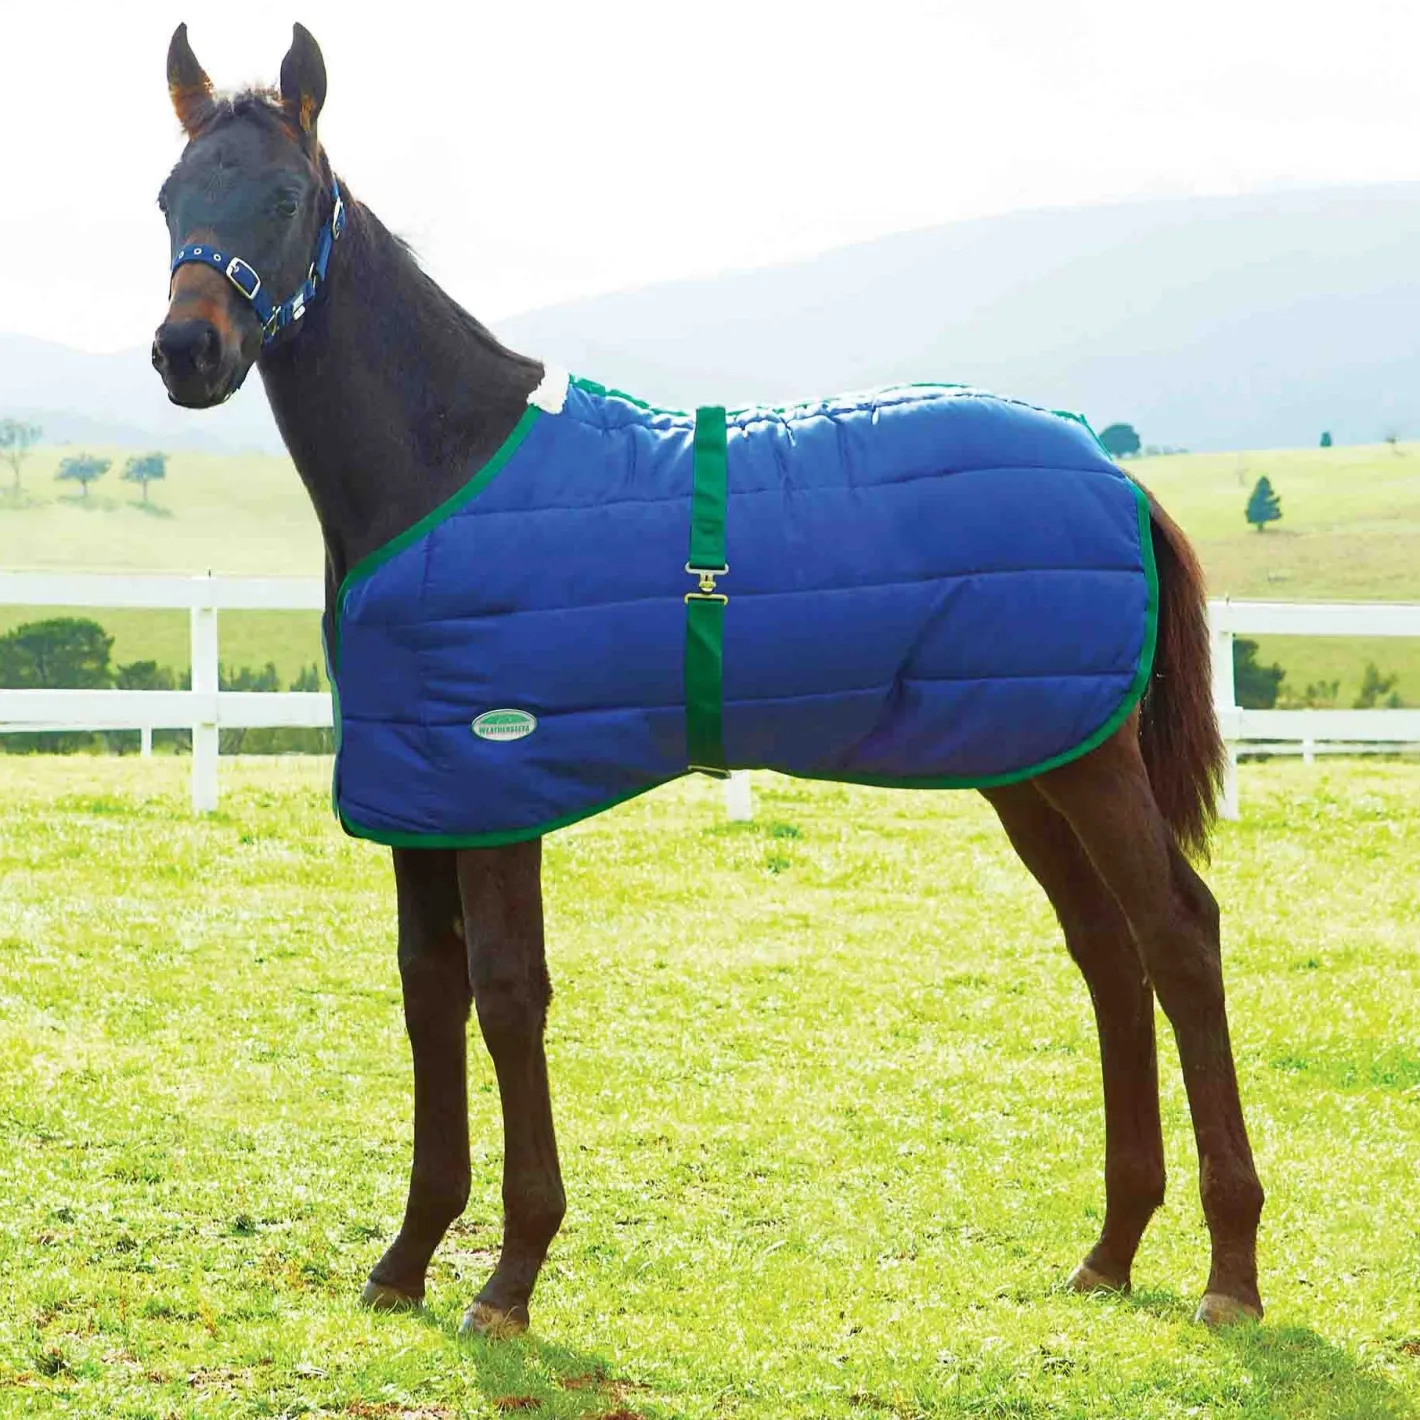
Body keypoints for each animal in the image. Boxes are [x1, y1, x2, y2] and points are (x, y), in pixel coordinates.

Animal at [150, 22, 1264, 1337]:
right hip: (1027, 762)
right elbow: (430, 995)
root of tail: (1114, 473)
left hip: (1087, 767)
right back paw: (1110, 1248)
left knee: (1178, 936)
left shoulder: (497, 784)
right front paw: (408, 1257)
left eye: (283, 197)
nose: (187, 352)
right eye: (169, 196)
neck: (447, 466)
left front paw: (510, 1275)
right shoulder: (421, 797)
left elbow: (506, 994)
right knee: (1108, 952)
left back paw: (1230, 1271)